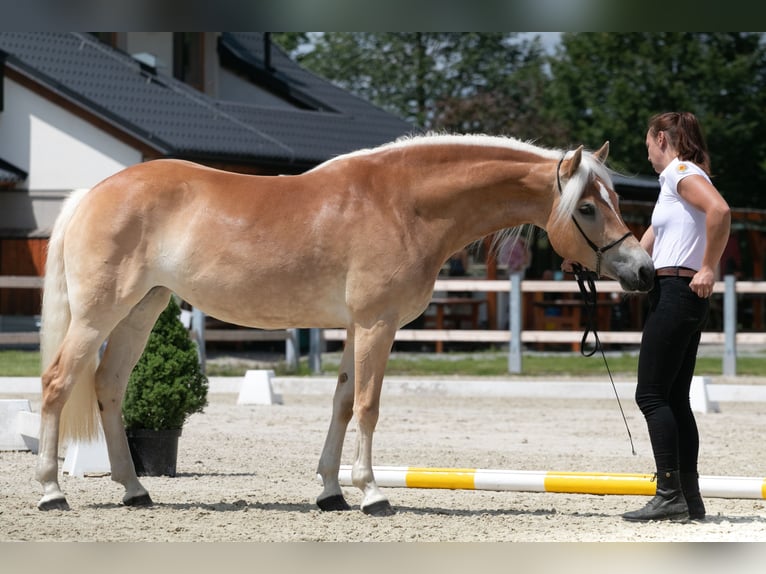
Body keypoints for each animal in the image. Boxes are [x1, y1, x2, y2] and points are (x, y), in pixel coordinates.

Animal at [36, 132, 656, 516]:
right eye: (586, 207)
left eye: (614, 196)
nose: (643, 270)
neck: (404, 204)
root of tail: (94, 192)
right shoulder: (378, 325)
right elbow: (368, 406)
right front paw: (373, 493)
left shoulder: (357, 328)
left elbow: (340, 403)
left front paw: (332, 492)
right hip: (98, 313)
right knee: (58, 383)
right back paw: (50, 492)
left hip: (143, 309)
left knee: (108, 387)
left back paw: (134, 488)